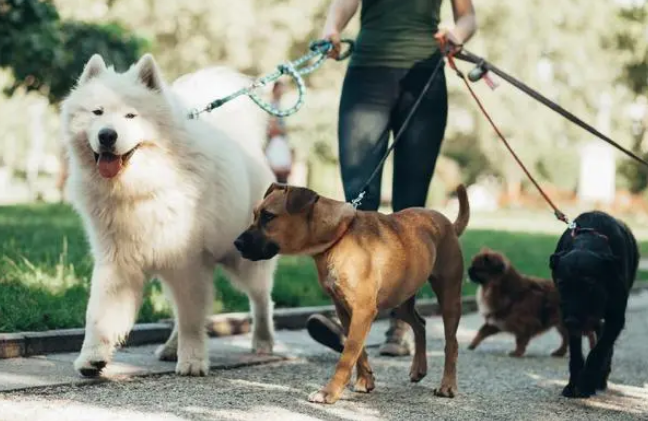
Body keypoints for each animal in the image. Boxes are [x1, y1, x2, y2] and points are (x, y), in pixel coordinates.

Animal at [62, 54, 280, 376]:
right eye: (97, 112)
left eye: (131, 116)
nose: (107, 135)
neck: (141, 187)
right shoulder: (117, 262)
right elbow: (100, 315)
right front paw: (92, 359)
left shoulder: (186, 261)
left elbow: (192, 320)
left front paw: (192, 361)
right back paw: (169, 348)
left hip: (243, 259)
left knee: (261, 299)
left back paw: (263, 341)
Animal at [235, 183, 468, 404]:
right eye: (255, 214)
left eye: (268, 216)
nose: (236, 243)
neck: (338, 237)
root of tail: (448, 224)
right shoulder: (345, 310)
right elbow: (358, 350)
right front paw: (365, 380)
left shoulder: (363, 311)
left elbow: (347, 357)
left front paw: (329, 392)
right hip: (400, 300)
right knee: (420, 325)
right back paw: (419, 368)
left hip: (449, 298)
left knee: (451, 343)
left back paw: (447, 386)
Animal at [466, 248, 596, 356]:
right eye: (472, 265)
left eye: (477, 268)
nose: (468, 270)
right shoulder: (496, 321)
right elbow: (481, 332)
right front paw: (472, 345)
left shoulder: (523, 325)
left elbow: (520, 340)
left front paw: (517, 353)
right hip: (561, 324)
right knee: (566, 338)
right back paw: (559, 352)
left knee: (589, 333)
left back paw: (592, 347)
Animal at [548, 210, 640, 398]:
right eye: (561, 283)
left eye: (590, 283)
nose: (571, 321)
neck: (587, 244)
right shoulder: (569, 318)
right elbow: (576, 354)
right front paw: (573, 384)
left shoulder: (616, 318)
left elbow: (599, 351)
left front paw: (586, 383)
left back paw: (600, 380)